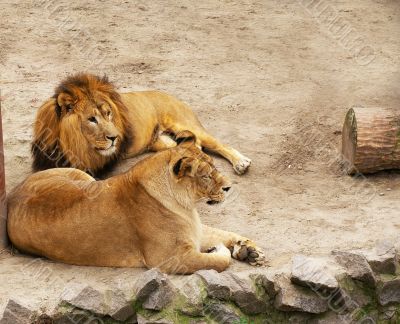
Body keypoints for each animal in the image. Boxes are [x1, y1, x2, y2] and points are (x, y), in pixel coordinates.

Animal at [7, 132, 264, 274]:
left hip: (82, 177)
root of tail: (11, 197)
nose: (229, 187)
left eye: (214, 168)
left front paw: (249, 250)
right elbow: (217, 262)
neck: (186, 206)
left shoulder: (195, 231)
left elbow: (223, 233)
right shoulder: (171, 259)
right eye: (205, 176)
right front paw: (221, 251)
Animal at [32, 73, 250, 177]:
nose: (115, 138)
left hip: (185, 124)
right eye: (92, 119)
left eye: (108, 114)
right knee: (192, 145)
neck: (71, 143)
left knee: (219, 144)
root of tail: (169, 94)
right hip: (163, 142)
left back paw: (241, 163)